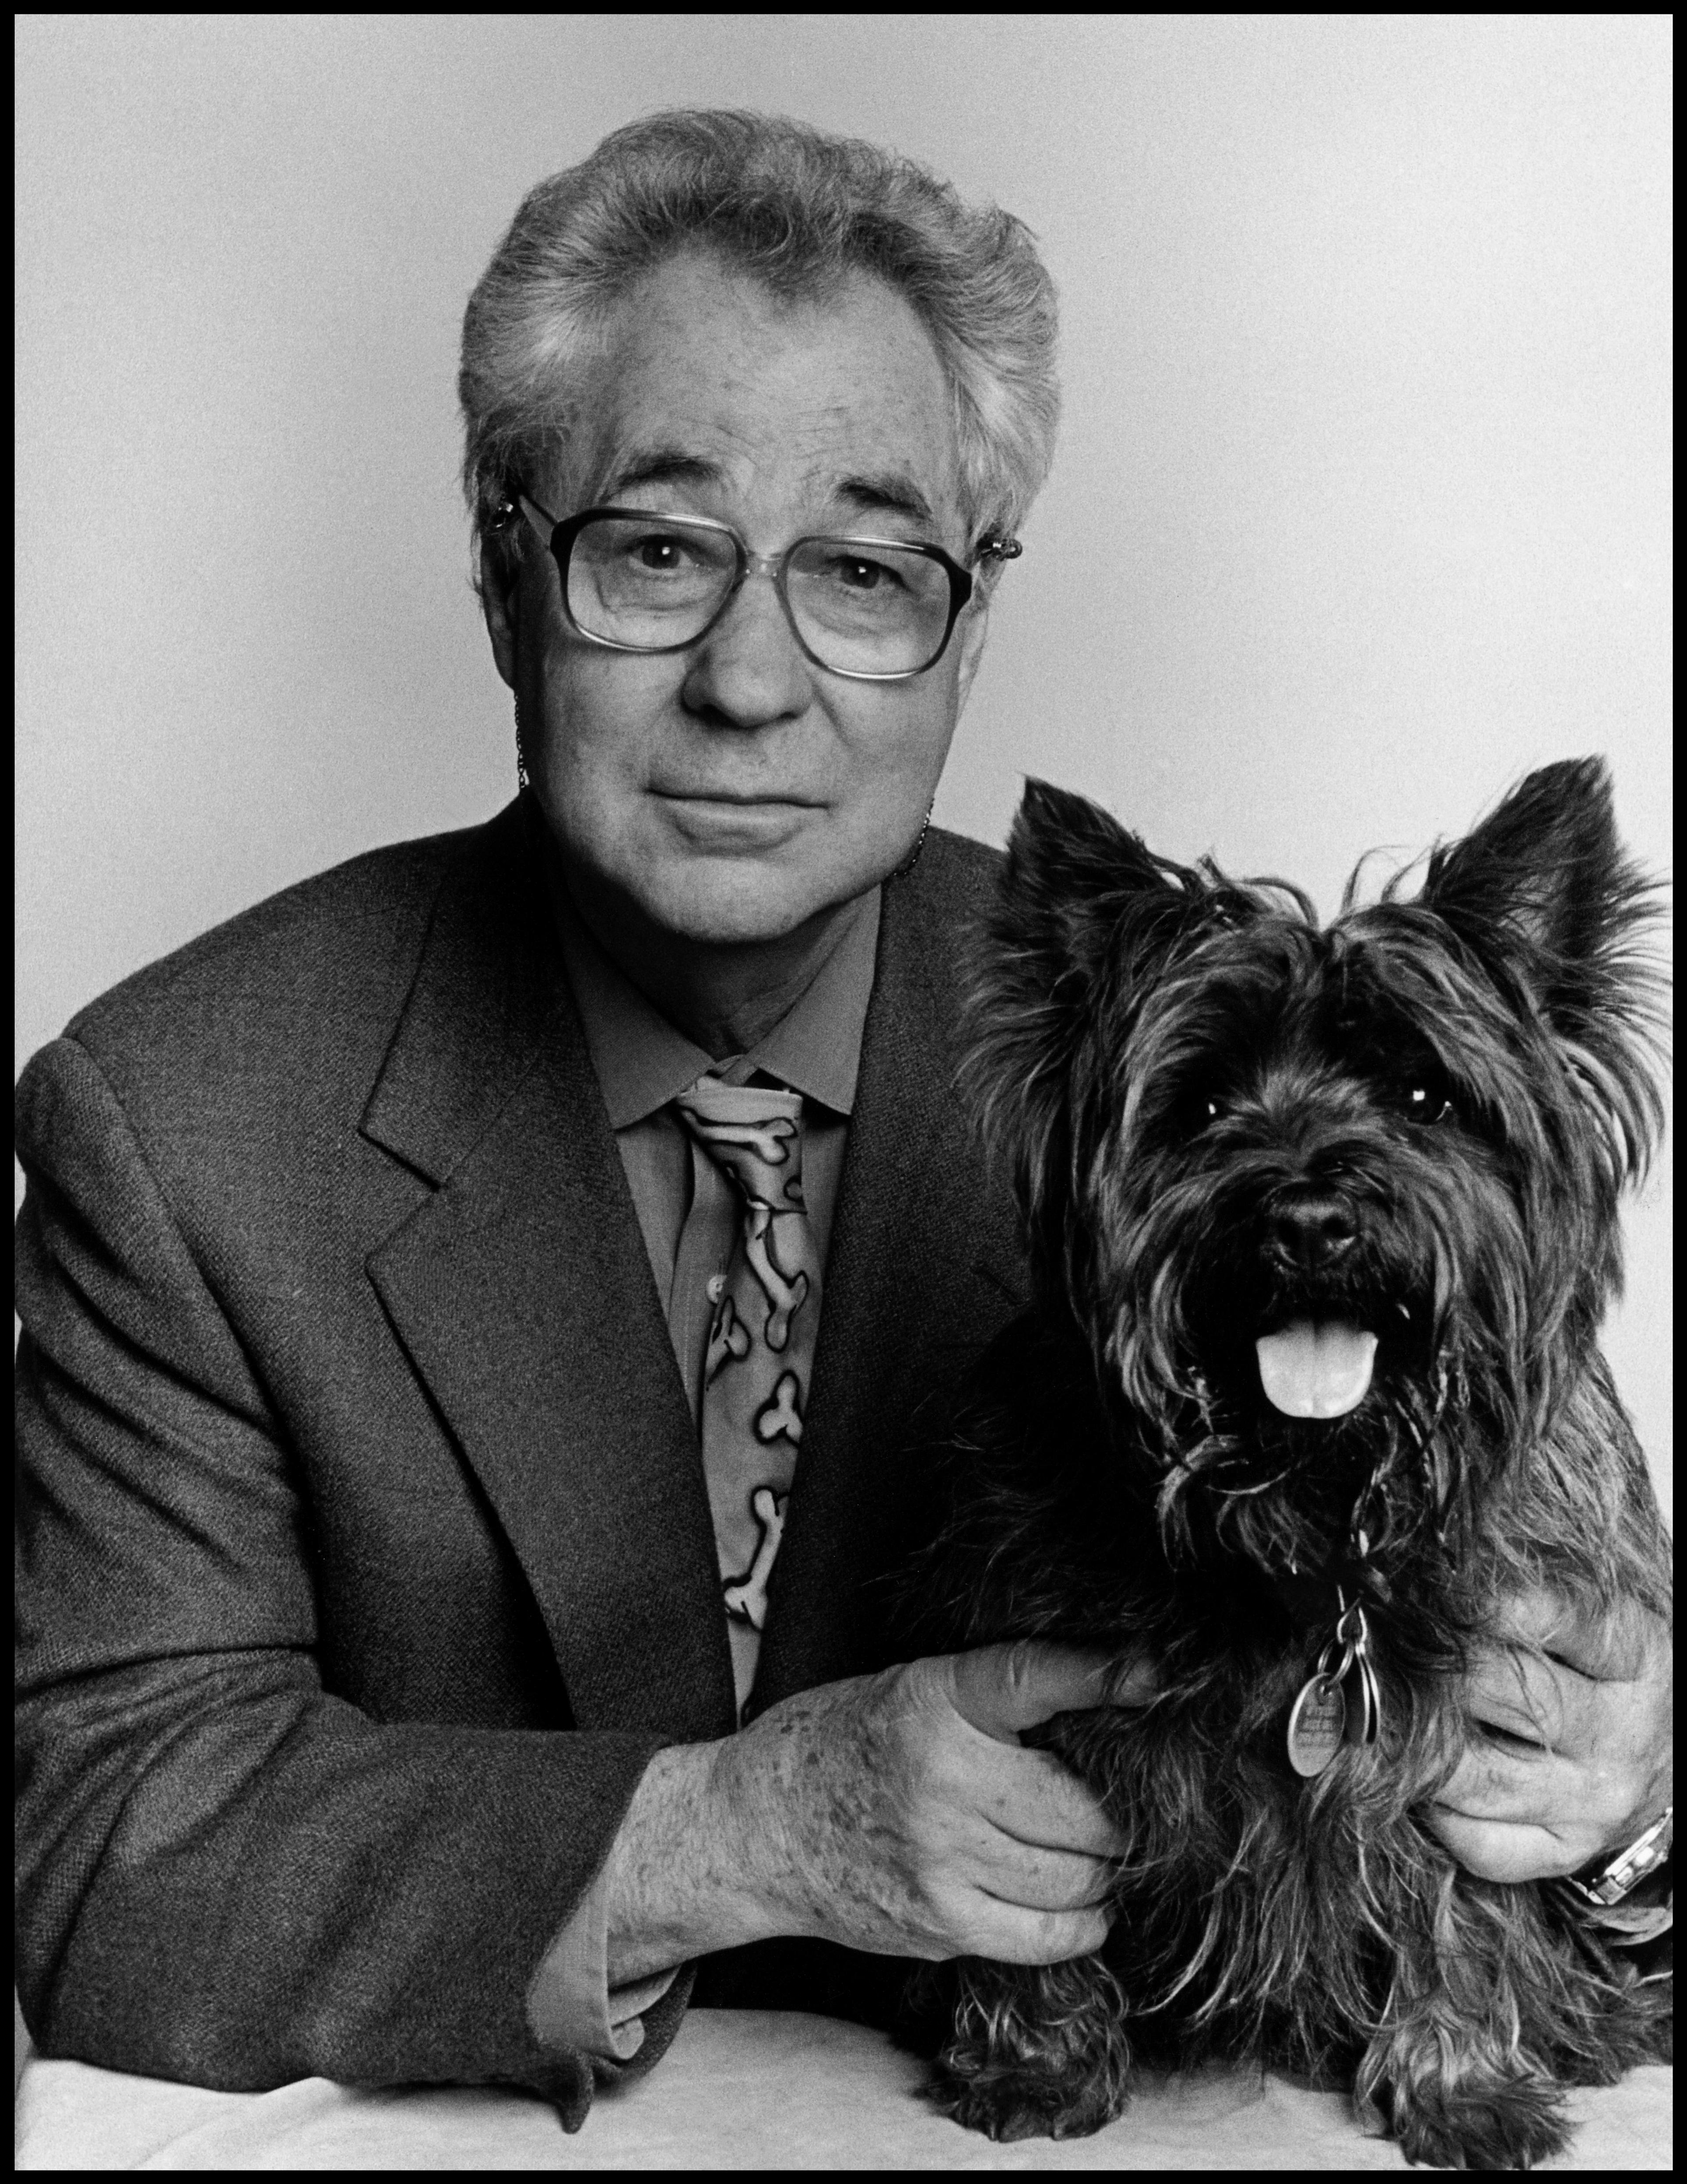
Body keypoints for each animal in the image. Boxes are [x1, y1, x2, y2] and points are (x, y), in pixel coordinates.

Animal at [908, 760, 1667, 2158]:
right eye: (1201, 1102)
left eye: (1426, 1097)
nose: (1310, 1217)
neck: (1316, 1528)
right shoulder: (1032, 1713)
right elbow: (1032, 1907)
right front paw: (1039, 2057)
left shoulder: (1480, 1743)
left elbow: (1466, 1901)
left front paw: (1463, 2084)